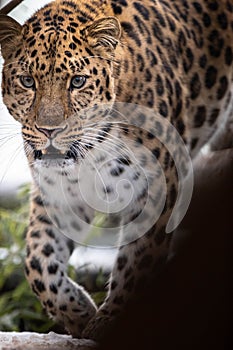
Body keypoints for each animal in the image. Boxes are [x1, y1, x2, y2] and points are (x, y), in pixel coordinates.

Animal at [0, 0, 232, 342]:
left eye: (78, 81)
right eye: (27, 81)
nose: (49, 131)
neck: (92, 151)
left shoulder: (157, 189)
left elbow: (136, 261)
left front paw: (110, 319)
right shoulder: (56, 197)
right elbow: (38, 261)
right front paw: (79, 312)